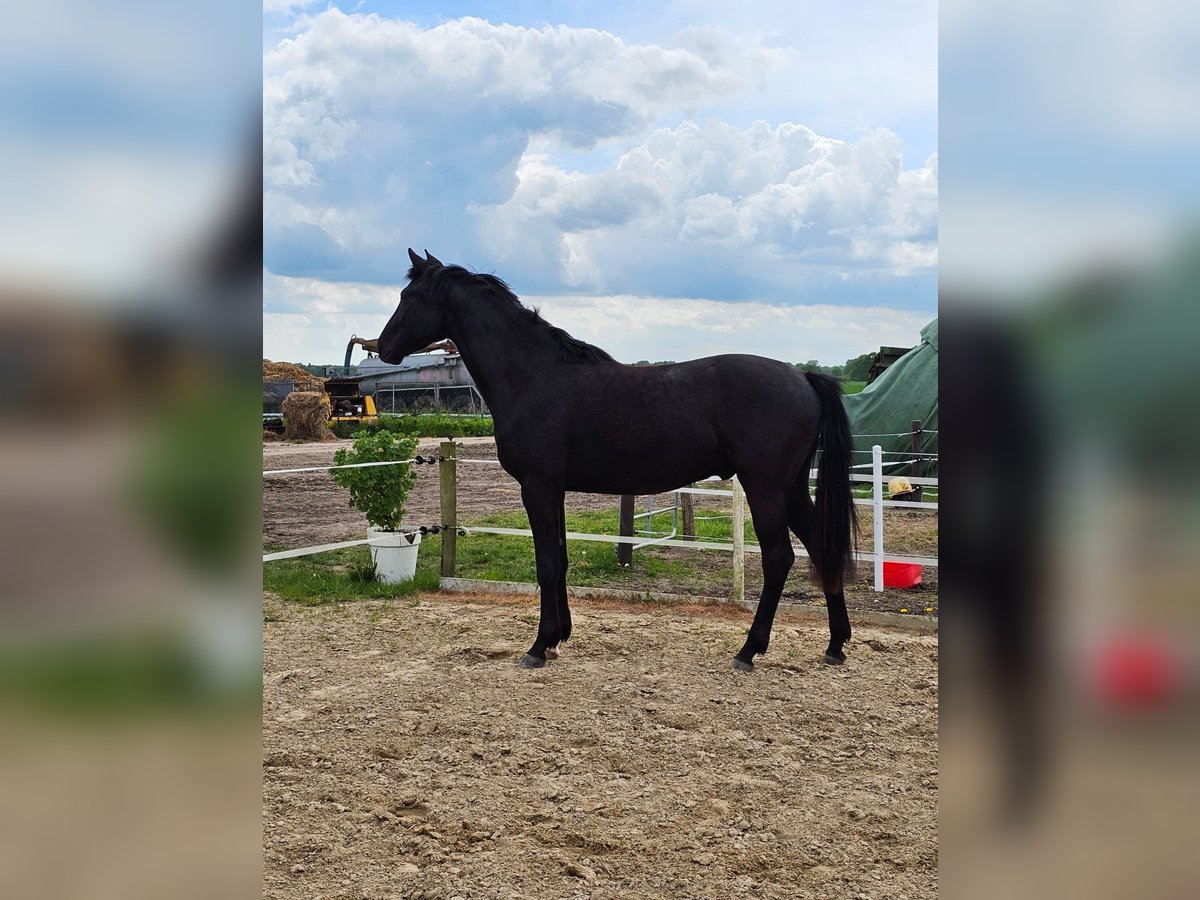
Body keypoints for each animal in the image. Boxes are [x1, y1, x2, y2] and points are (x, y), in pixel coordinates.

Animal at [379, 250, 859, 672]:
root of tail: (802, 377)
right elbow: (560, 559)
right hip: (791, 489)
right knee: (820, 546)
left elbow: (546, 563)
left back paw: (749, 650)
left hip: (765, 488)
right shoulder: (554, 490)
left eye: (408, 297)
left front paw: (538, 646)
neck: (534, 375)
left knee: (779, 557)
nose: (383, 347)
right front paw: (559, 637)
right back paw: (835, 645)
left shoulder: (537, 486)